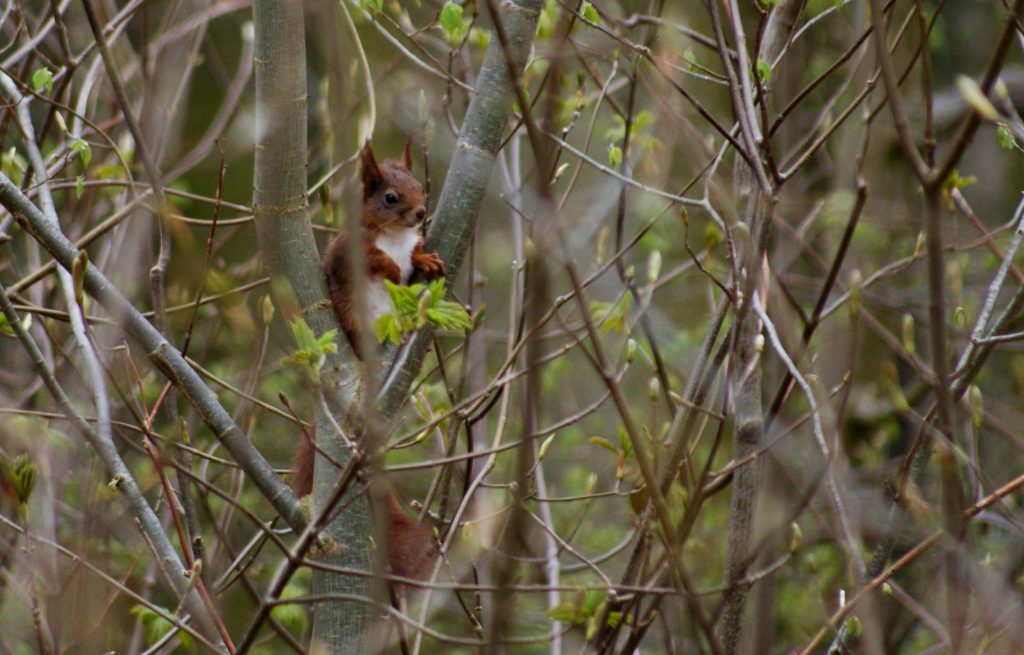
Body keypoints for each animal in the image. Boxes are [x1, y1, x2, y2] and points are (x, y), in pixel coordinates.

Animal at [290, 141, 446, 581]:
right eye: (390, 197)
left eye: (418, 185)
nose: (420, 213)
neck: (393, 234)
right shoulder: (349, 253)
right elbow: (372, 259)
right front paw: (390, 265)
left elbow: (414, 254)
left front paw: (425, 259)